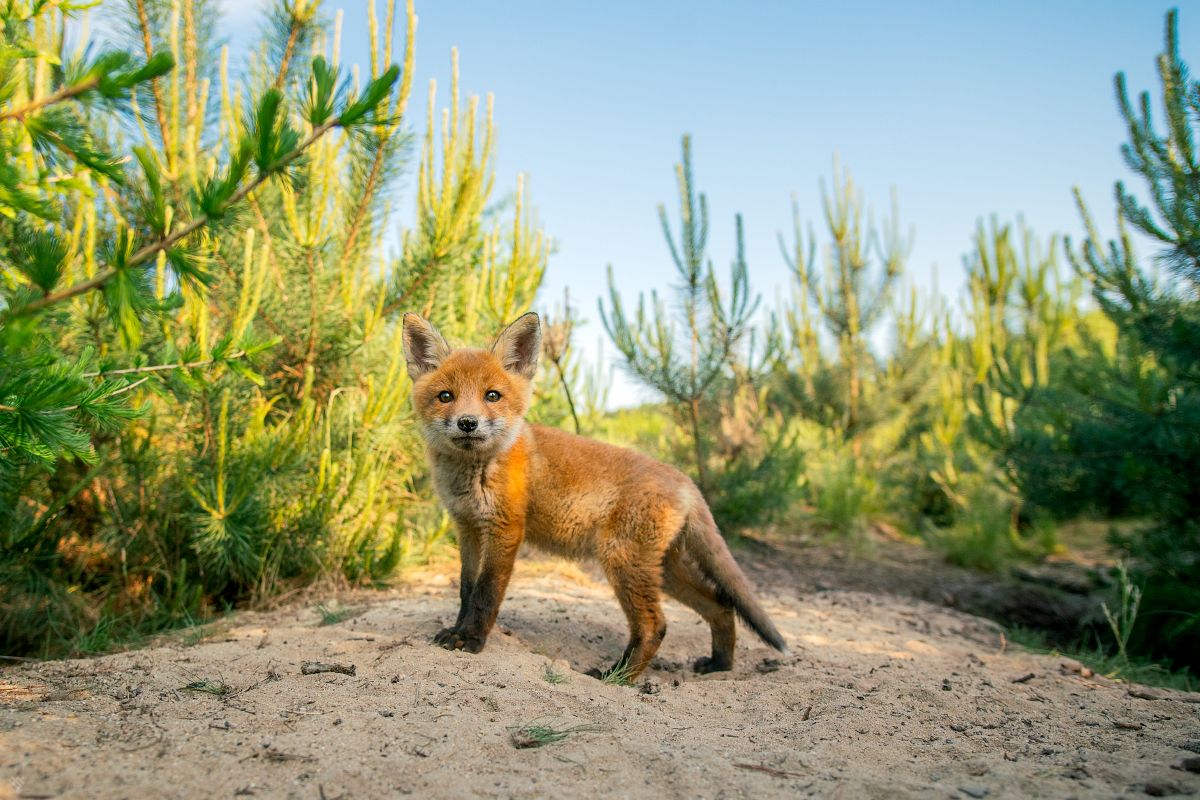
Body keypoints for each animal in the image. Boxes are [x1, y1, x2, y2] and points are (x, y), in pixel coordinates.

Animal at [403, 309, 782, 681]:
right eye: (446, 396)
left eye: (492, 396)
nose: (468, 423)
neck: (475, 473)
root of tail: (685, 481)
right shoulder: (467, 527)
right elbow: (466, 589)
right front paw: (457, 631)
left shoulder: (505, 530)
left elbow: (486, 592)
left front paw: (471, 640)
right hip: (664, 570)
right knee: (721, 605)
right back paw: (719, 664)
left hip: (622, 561)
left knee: (656, 626)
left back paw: (618, 677)